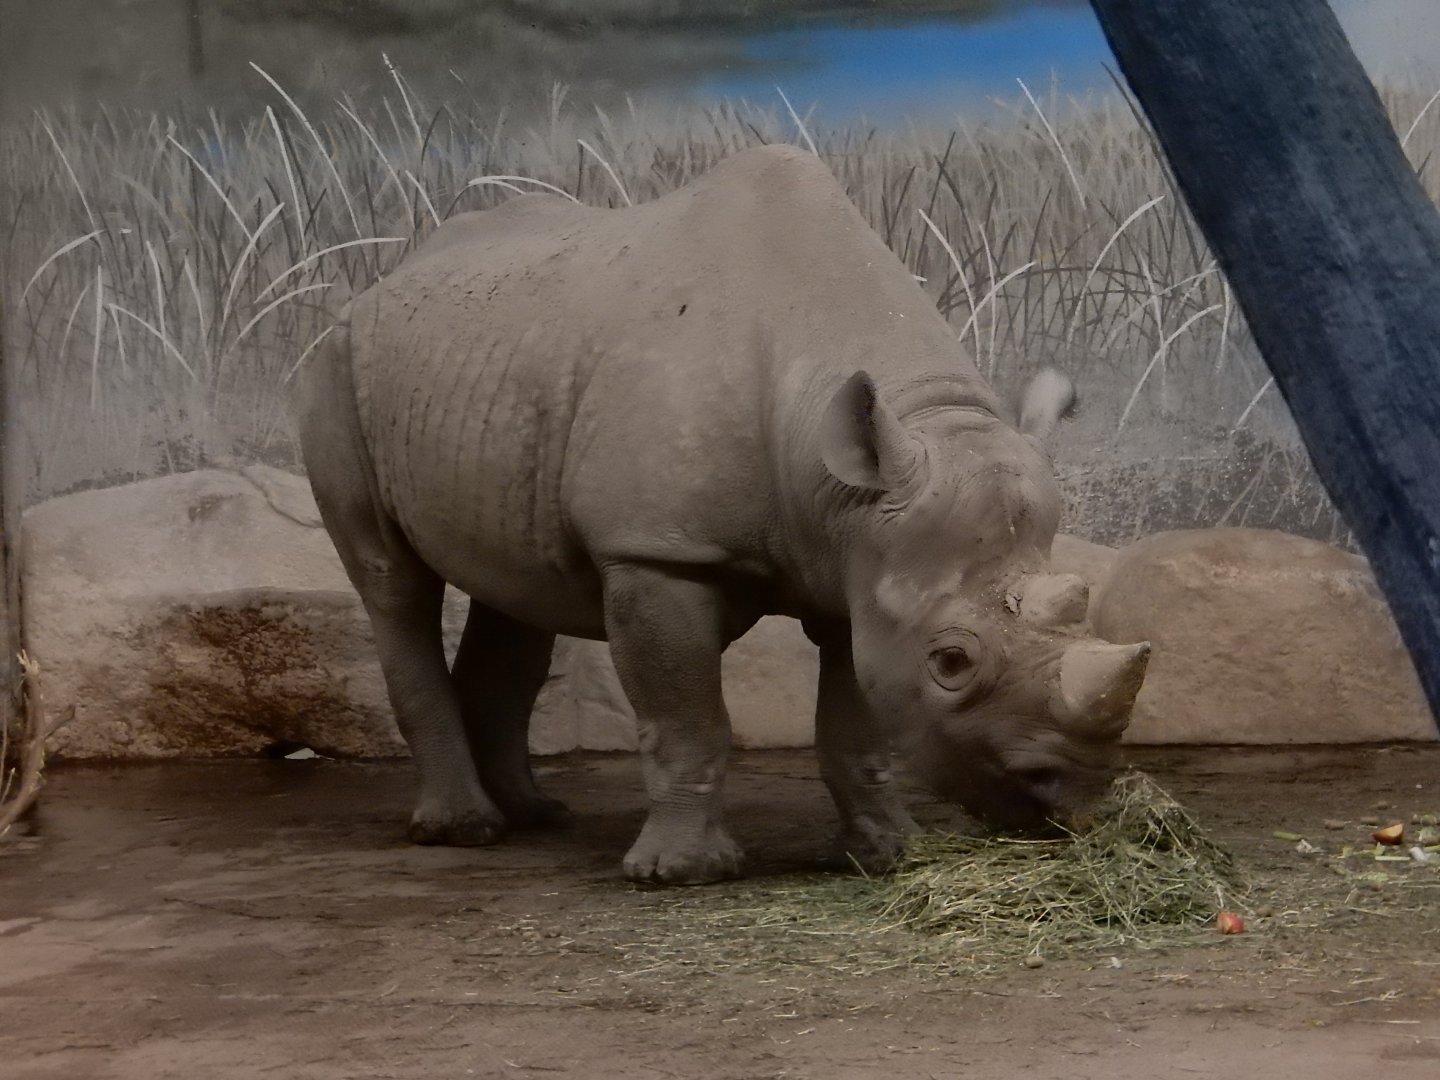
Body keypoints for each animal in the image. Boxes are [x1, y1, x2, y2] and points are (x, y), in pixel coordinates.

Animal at [298, 144, 1150, 884]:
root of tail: (382, 282)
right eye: (951, 661)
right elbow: (689, 715)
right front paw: (683, 873)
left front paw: (887, 855)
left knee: (514, 592)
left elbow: (858, 720)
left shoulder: (858, 564)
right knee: (391, 581)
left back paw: (534, 815)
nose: (1072, 792)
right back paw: (464, 829)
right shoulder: (656, 551)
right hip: (335, 365)